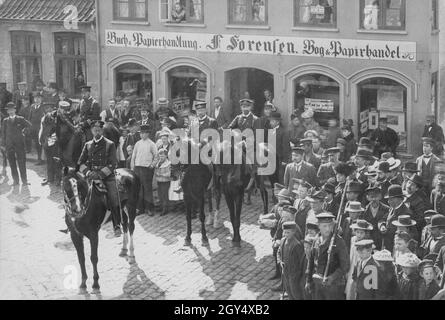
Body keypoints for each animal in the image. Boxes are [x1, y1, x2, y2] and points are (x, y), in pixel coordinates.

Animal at [61, 166, 140, 294]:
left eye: (80, 186)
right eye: (65, 186)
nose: (76, 209)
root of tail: (130, 171)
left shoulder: (93, 235)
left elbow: (93, 258)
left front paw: (95, 284)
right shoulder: (75, 235)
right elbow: (81, 258)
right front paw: (83, 284)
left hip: (131, 206)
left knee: (131, 227)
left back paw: (132, 255)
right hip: (121, 207)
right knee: (124, 224)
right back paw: (123, 249)